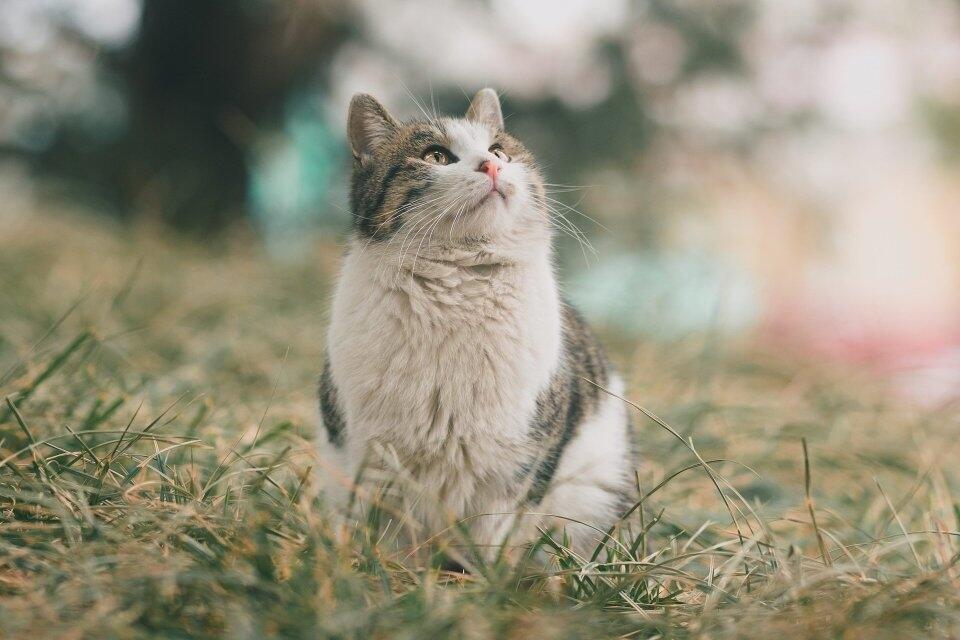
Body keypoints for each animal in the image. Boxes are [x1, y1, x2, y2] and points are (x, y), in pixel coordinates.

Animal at [316, 87, 636, 556]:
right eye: (436, 155)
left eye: (499, 150)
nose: (492, 165)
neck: (460, 285)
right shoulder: (371, 461)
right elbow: (389, 541)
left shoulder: (519, 467)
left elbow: (494, 540)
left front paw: (488, 574)